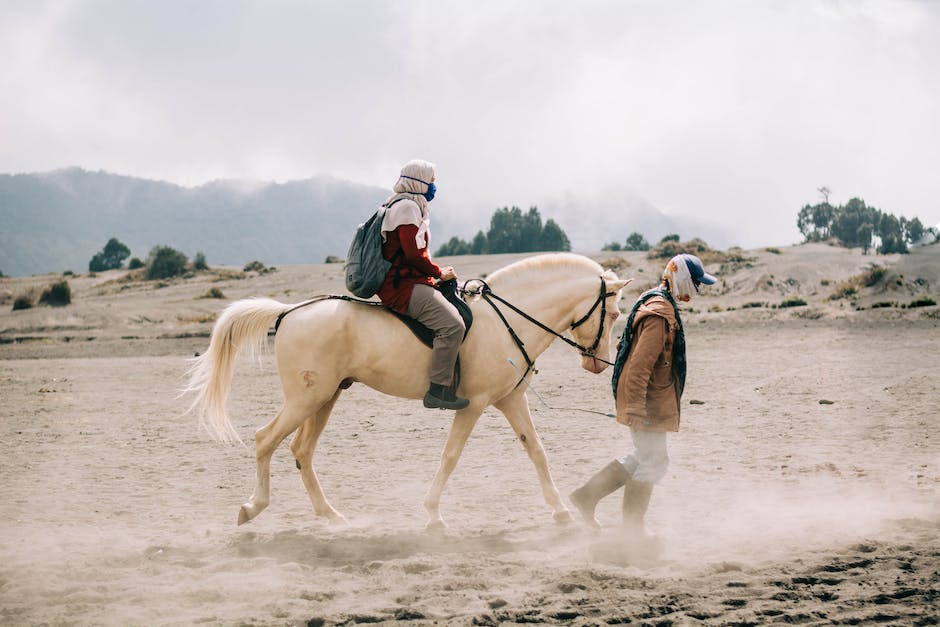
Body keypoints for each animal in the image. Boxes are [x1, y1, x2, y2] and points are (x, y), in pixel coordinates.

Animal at [182, 251, 632, 528]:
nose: (597, 363)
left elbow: (537, 453)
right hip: (306, 399)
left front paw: (561, 512)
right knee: (265, 440)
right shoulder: (473, 405)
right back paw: (253, 507)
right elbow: (450, 457)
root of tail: (289, 311)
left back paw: (330, 515)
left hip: (325, 397)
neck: (508, 320)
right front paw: (432, 515)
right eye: (612, 314)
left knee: (300, 452)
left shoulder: (510, 400)